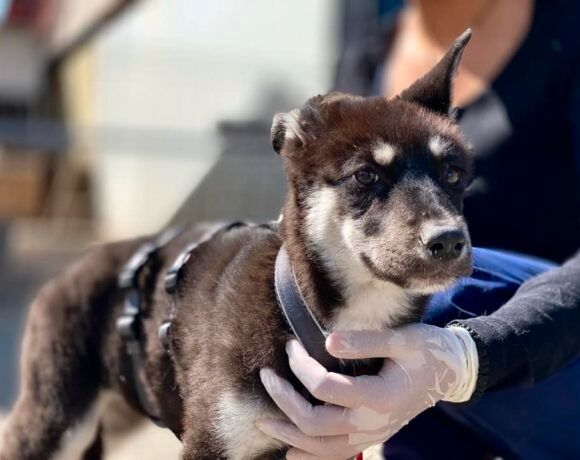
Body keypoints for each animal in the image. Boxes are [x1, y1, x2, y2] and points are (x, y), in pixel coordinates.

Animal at [0, 30, 472, 458]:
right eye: (366, 175)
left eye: (453, 174)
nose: (449, 242)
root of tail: (75, 268)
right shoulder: (214, 440)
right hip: (56, 419)